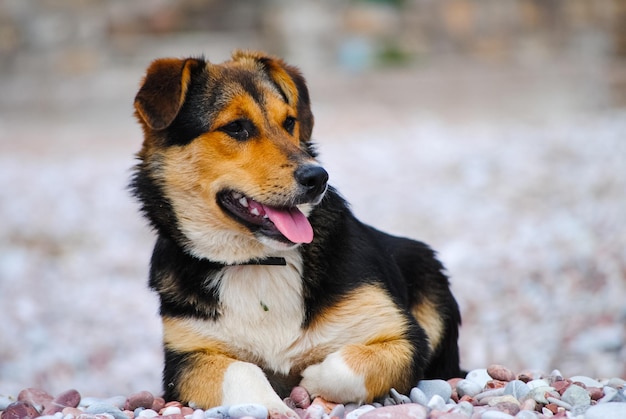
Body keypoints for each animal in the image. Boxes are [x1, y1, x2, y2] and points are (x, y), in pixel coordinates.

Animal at [129, 49, 458, 416]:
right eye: (236, 127)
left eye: (289, 122)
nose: (318, 177)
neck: (260, 261)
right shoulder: (184, 360)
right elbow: (242, 370)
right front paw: (274, 406)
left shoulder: (404, 337)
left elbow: (343, 365)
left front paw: (311, 379)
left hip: (427, 269)